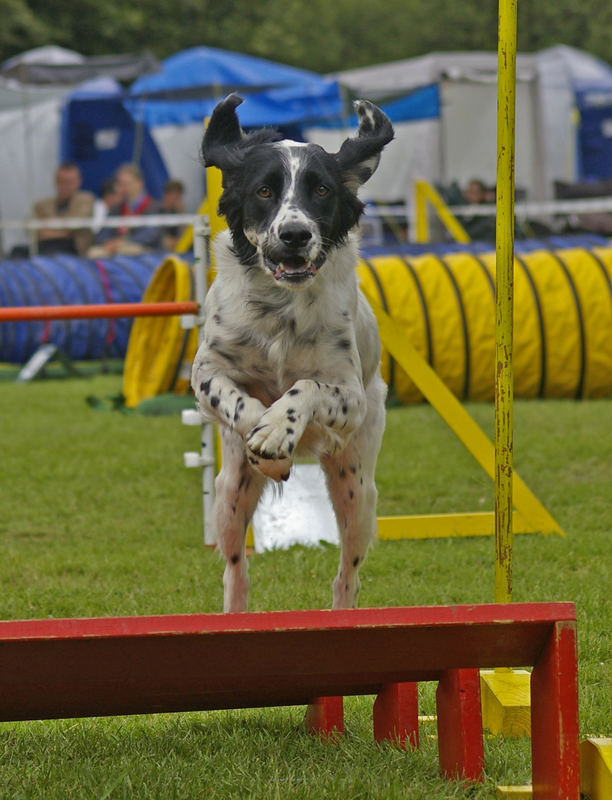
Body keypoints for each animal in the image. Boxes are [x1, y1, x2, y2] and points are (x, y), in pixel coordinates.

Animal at [191, 94, 392, 612]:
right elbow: (236, 400)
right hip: (229, 495)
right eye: (264, 191)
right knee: (235, 570)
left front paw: (279, 429)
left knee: (348, 574)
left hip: (357, 486)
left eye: (321, 190)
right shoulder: (206, 371)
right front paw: (268, 443)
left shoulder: (349, 395)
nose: (295, 234)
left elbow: (304, 387)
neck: (282, 303)